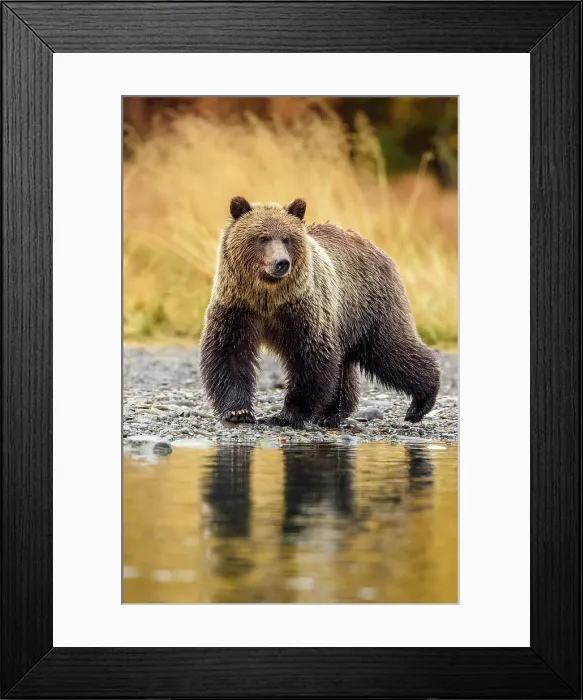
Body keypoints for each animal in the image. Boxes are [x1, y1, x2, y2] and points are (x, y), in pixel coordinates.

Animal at [200, 196, 440, 429]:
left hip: (370, 306)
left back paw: (420, 402)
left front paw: (286, 415)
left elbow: (311, 358)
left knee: (391, 350)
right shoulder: (238, 307)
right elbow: (229, 352)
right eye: (262, 237)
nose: (281, 263)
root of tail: (377, 249)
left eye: (287, 238)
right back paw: (331, 414)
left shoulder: (304, 309)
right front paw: (238, 412)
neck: (268, 297)